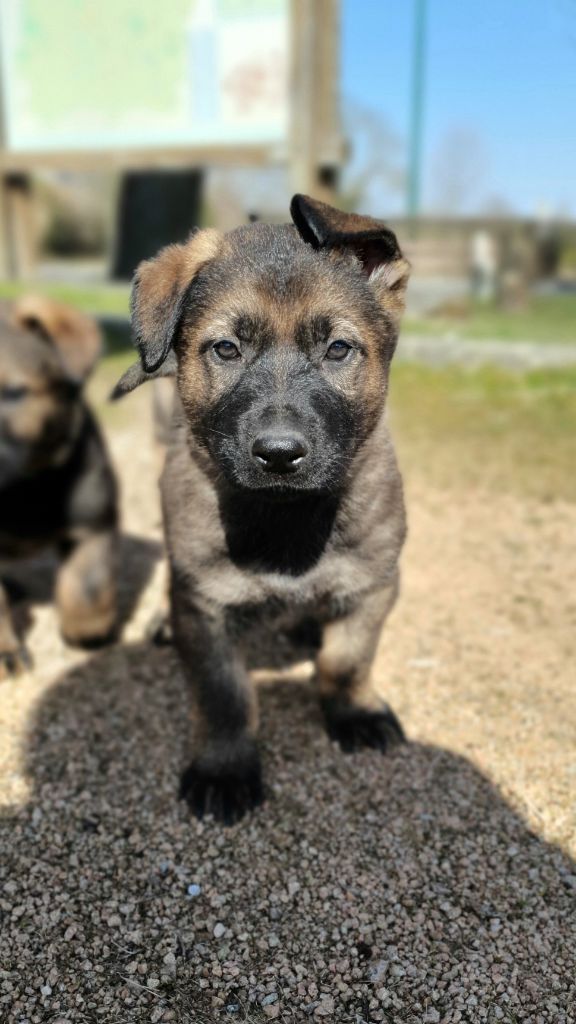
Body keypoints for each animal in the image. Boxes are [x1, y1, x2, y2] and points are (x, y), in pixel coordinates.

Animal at [113, 197, 407, 823]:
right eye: (227, 349)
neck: (285, 517)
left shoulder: (374, 582)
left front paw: (355, 711)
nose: (279, 453)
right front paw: (224, 768)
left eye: (338, 349)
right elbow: (225, 696)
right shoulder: (205, 605)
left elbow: (347, 659)